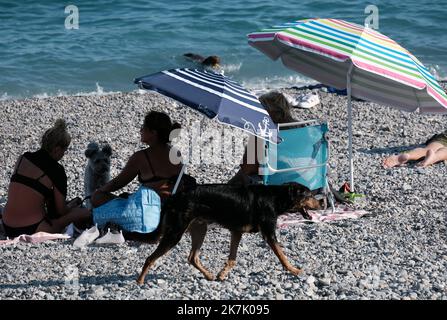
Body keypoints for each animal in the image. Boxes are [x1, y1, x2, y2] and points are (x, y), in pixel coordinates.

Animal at [136, 181, 322, 284]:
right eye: (309, 195)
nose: (322, 204)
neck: (276, 197)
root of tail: (173, 197)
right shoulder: (269, 233)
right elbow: (282, 256)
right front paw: (294, 270)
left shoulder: (236, 231)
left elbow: (232, 259)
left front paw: (222, 274)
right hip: (175, 233)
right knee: (150, 258)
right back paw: (140, 281)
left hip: (200, 229)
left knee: (192, 257)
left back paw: (209, 275)